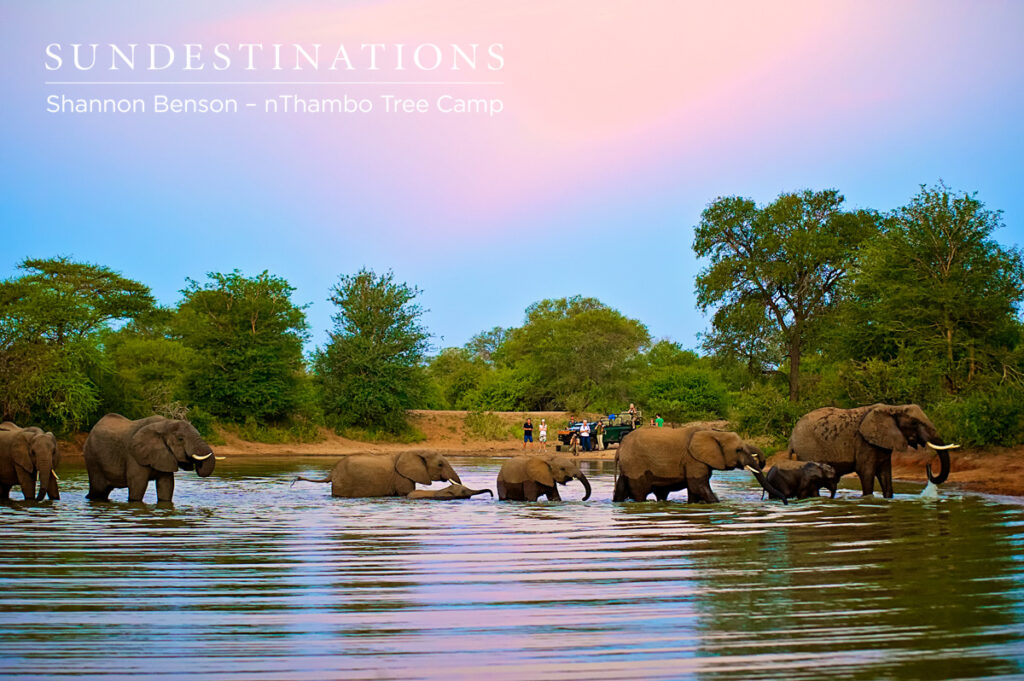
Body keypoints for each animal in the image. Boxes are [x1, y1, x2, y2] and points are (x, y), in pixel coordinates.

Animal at [83, 414, 217, 503]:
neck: (165, 424)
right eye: (180, 439)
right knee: (97, 490)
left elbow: (166, 486)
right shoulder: (134, 455)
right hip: (92, 458)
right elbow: (138, 486)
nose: (196, 464)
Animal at [613, 426, 785, 503]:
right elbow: (698, 486)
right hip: (635, 465)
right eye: (738, 450)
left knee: (621, 489)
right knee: (639, 492)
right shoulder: (693, 460)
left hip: (628, 466)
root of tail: (619, 448)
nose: (785, 501)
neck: (713, 432)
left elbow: (694, 490)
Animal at [788, 403, 956, 499]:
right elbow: (866, 472)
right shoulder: (864, 442)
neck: (893, 408)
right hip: (807, 450)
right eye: (914, 423)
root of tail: (791, 436)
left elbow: (885, 473)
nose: (929, 466)